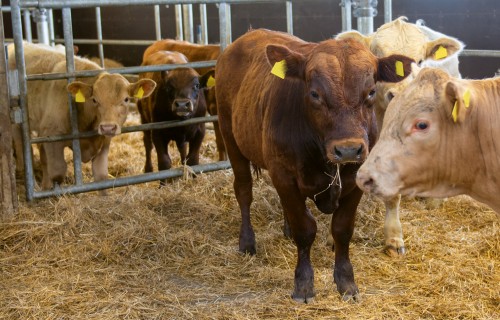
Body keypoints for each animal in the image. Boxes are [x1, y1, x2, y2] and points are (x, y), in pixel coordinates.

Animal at [7, 42, 155, 192]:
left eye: (126, 99)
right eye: (94, 100)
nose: (108, 127)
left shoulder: (103, 141)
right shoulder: (51, 135)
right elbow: (57, 169)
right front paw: (50, 189)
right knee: (22, 146)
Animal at [138, 50, 214, 185]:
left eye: (196, 85)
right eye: (169, 87)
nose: (182, 105)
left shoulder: (200, 130)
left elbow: (193, 160)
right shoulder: (157, 132)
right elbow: (164, 162)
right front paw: (163, 185)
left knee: (182, 148)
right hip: (144, 119)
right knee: (147, 143)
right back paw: (148, 169)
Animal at [216, 28, 414, 302]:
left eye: (371, 92)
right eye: (315, 94)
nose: (348, 149)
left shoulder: (355, 179)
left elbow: (342, 229)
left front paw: (346, 283)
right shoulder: (284, 174)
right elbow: (305, 229)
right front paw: (303, 285)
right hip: (230, 137)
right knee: (244, 191)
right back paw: (247, 242)